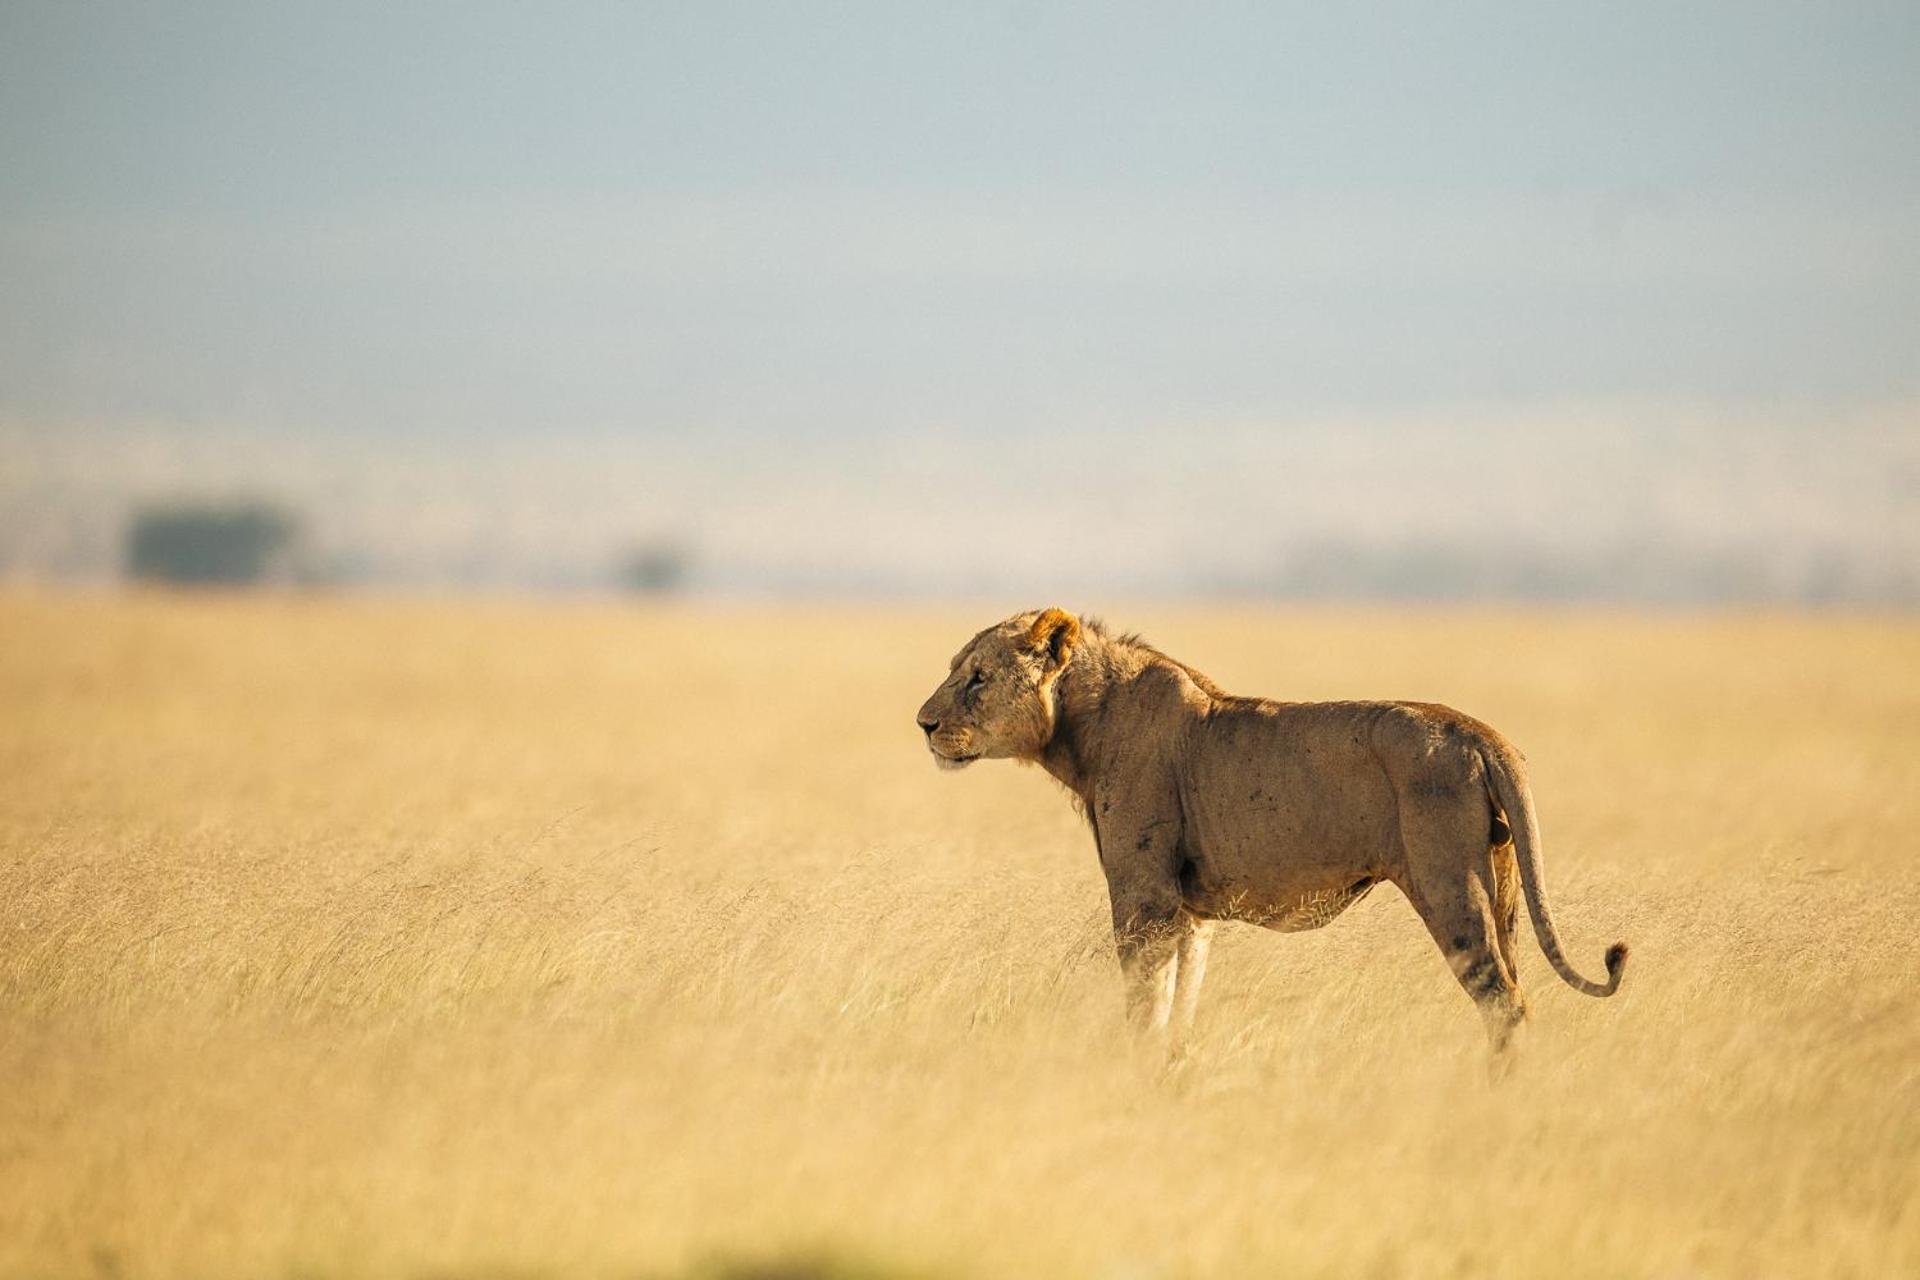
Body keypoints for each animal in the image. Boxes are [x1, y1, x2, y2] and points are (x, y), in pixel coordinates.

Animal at [913, 610, 1620, 1059]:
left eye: (977, 677)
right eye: (956, 669)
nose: (923, 724)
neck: (1082, 724)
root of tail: (1482, 733)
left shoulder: (1143, 895)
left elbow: (1144, 1007)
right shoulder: (1190, 913)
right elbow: (1181, 1006)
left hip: (1450, 882)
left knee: (1502, 1001)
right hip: (1502, 885)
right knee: (1519, 991)